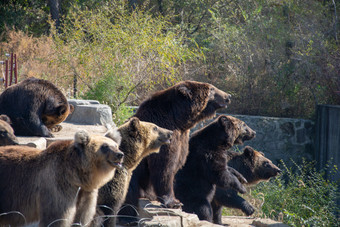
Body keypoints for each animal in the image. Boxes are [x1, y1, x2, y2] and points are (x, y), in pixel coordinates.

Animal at [121, 80, 232, 220]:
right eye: (212, 89)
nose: (228, 96)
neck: (178, 119)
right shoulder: (164, 136)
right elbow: (164, 167)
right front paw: (174, 202)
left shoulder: (182, 139)